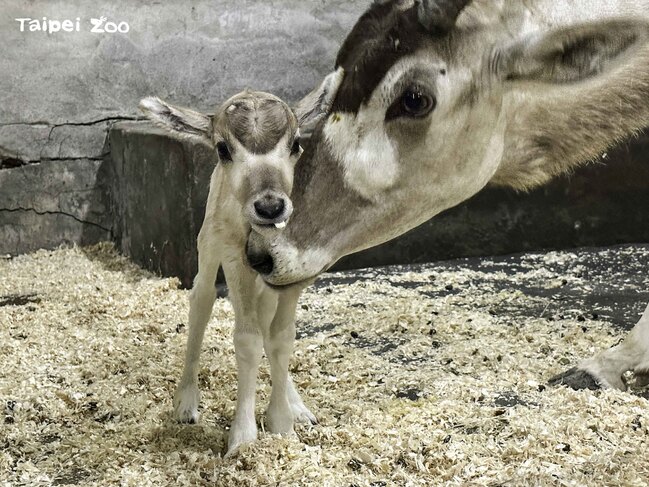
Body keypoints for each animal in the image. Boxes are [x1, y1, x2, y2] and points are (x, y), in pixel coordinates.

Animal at [139, 91, 316, 458]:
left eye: (295, 143)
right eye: (223, 148)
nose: (269, 207)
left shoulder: (290, 272)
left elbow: (282, 336)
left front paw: (284, 420)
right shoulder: (236, 258)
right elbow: (247, 338)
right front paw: (243, 437)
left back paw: (298, 407)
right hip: (209, 245)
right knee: (202, 299)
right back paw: (186, 404)